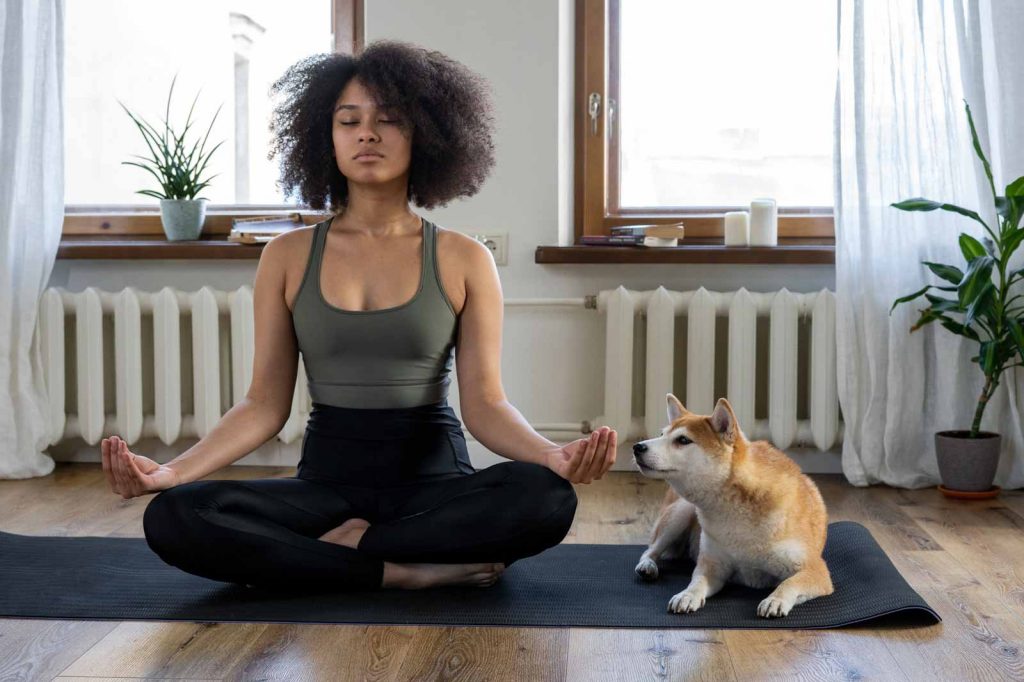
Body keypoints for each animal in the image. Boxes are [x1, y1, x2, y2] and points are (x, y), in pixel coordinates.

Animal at [630, 393, 831, 614]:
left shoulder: (815, 569)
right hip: (681, 513)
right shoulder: (712, 566)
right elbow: (696, 582)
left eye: (683, 440)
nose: (637, 447)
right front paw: (687, 595)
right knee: (650, 550)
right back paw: (648, 566)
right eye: (661, 434)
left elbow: (789, 583)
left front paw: (775, 600)